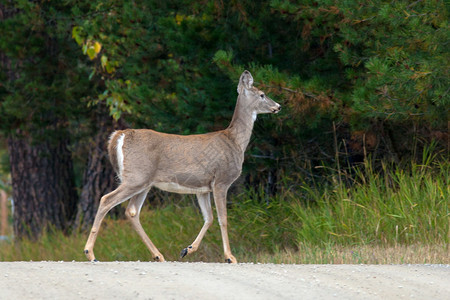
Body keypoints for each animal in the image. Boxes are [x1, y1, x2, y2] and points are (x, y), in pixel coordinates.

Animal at [83, 70, 282, 262]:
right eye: (262, 94)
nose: (278, 106)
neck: (235, 142)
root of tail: (120, 135)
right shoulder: (221, 180)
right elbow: (223, 218)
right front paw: (230, 257)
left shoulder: (203, 187)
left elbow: (209, 218)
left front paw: (187, 249)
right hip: (136, 177)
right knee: (106, 200)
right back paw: (90, 253)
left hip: (143, 182)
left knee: (131, 211)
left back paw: (158, 255)